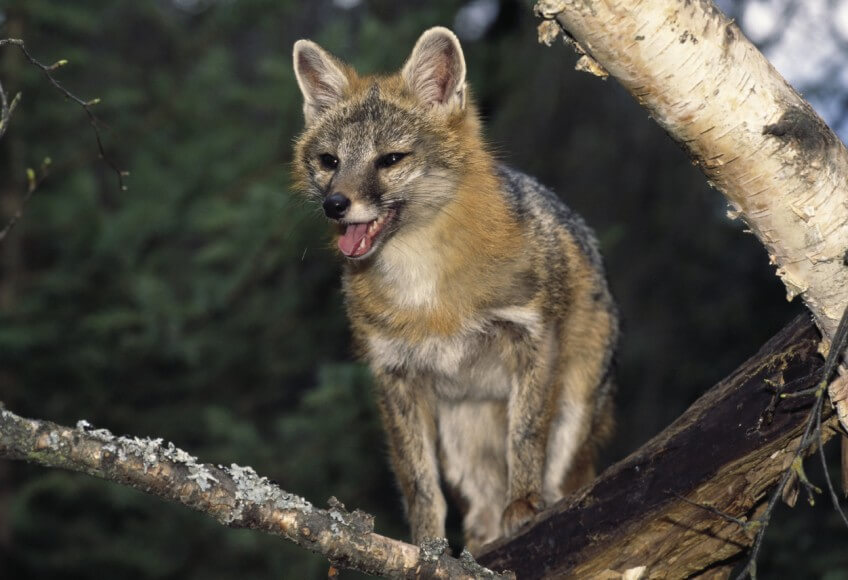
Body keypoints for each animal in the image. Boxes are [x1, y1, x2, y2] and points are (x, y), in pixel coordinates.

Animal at [292, 27, 618, 553]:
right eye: (329, 162)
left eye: (390, 160)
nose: (334, 204)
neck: (425, 285)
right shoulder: (393, 374)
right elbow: (418, 484)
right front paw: (424, 546)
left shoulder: (532, 337)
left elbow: (526, 436)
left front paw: (522, 504)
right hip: (460, 438)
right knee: (479, 512)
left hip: (573, 409)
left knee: (557, 477)